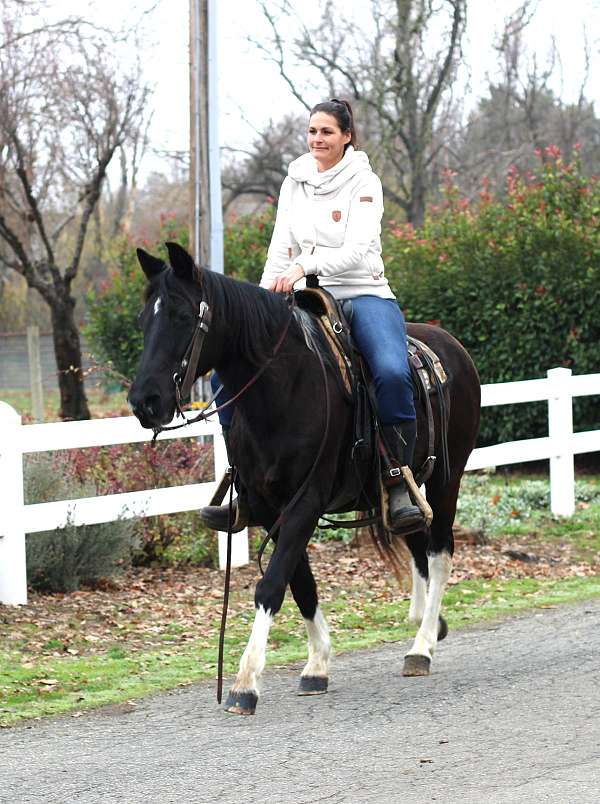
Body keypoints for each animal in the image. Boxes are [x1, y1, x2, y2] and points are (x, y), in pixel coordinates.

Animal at [129, 243, 480, 716]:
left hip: (447, 481)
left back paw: (422, 647)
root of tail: (452, 348)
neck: (284, 389)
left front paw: (245, 683)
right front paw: (316, 666)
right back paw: (430, 624)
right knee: (417, 539)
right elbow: (301, 584)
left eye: (183, 316)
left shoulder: (305, 501)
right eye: (144, 318)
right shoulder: (267, 507)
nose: (145, 401)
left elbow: (272, 584)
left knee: (440, 553)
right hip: (396, 496)